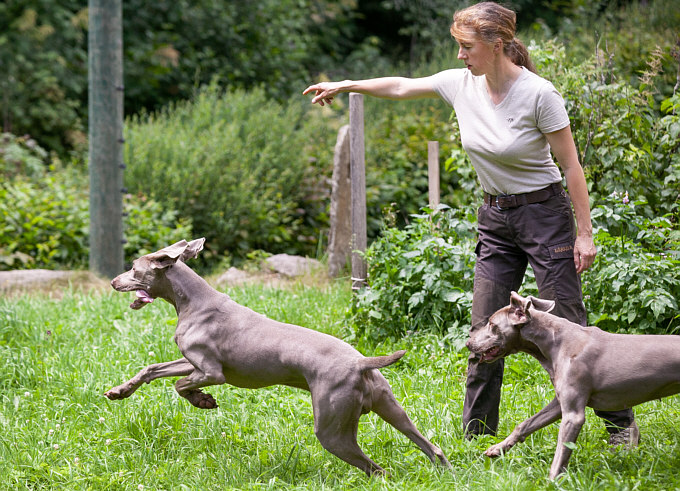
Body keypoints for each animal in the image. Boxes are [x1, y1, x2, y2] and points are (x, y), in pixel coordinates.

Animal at [106, 238, 452, 476]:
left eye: (134, 269)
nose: (112, 281)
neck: (191, 300)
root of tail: (359, 362)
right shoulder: (191, 363)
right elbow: (152, 368)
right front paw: (119, 391)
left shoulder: (212, 371)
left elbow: (180, 386)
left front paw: (203, 401)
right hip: (389, 406)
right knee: (430, 447)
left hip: (331, 430)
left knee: (376, 469)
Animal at [464, 292, 680, 480]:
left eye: (492, 324)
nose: (468, 343)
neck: (554, 341)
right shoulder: (560, 403)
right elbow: (525, 424)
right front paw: (498, 448)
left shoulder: (573, 415)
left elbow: (560, 454)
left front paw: (551, 482)